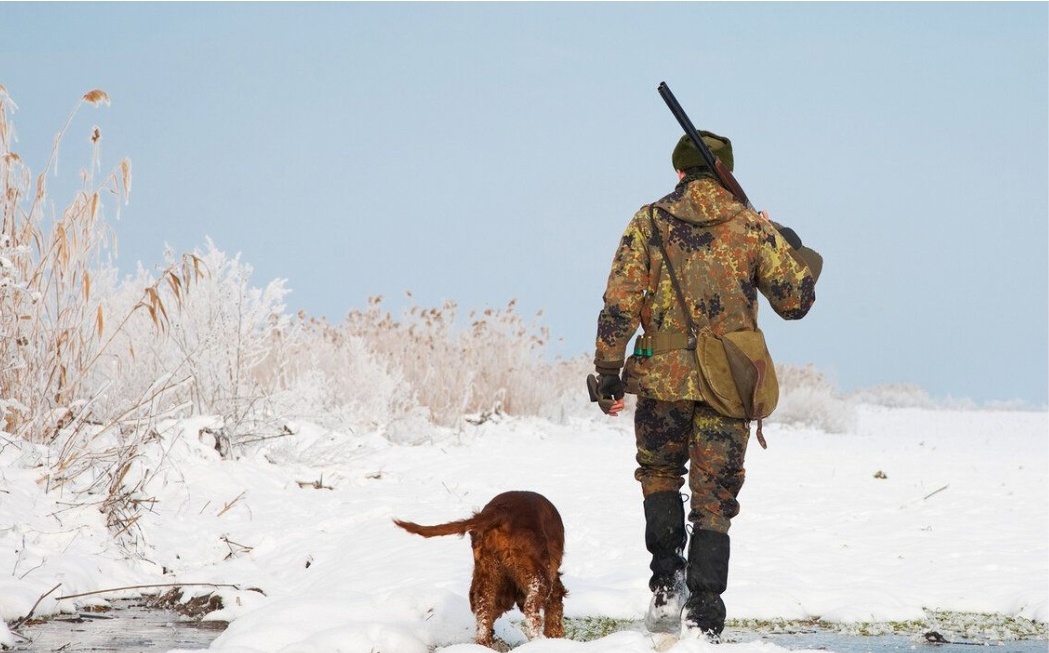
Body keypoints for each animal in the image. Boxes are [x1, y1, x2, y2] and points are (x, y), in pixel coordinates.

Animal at [392, 491, 566, 650]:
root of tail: (501, 512)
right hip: (537, 574)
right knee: (531, 608)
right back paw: (539, 643)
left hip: (486, 572)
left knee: (484, 609)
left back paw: (485, 644)